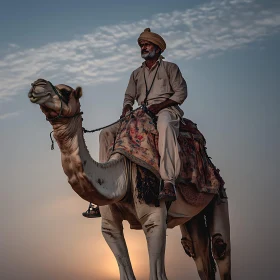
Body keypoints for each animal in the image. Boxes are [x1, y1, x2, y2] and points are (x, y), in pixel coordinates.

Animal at [27, 79, 232, 280]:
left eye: (65, 91)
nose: (36, 85)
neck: (121, 175)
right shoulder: (109, 227)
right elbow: (125, 272)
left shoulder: (154, 218)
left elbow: (157, 275)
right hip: (191, 217)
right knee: (197, 252)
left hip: (218, 195)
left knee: (220, 247)